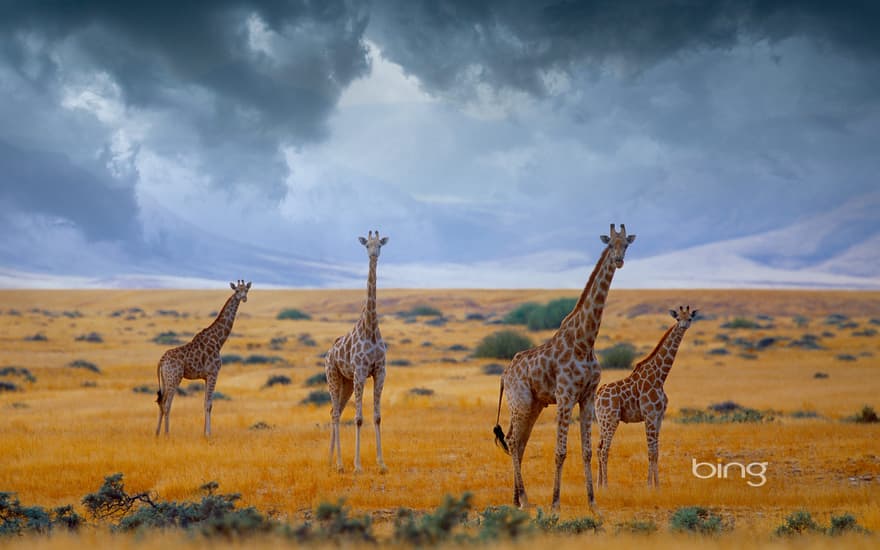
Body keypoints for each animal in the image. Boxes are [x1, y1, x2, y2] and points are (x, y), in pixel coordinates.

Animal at [154, 282, 251, 438]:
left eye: (247, 289)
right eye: (237, 290)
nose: (244, 298)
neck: (218, 341)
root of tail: (161, 361)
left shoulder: (206, 377)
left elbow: (205, 403)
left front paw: (204, 432)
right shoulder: (213, 373)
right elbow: (209, 404)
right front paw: (208, 434)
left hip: (165, 379)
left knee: (161, 402)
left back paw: (157, 433)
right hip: (174, 378)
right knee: (167, 404)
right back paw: (167, 434)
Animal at [326, 231, 388, 476]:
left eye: (379, 244)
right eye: (367, 245)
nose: (374, 254)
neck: (370, 328)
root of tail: (328, 354)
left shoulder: (379, 371)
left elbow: (377, 417)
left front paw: (382, 464)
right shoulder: (361, 372)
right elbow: (359, 418)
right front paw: (358, 466)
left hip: (346, 383)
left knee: (335, 411)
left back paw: (333, 462)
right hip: (333, 377)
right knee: (335, 414)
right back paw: (340, 464)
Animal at [492, 223, 636, 512]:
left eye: (626, 244)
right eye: (610, 244)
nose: (619, 260)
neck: (585, 341)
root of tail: (504, 375)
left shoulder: (587, 396)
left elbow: (587, 450)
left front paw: (593, 504)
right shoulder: (565, 395)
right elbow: (560, 451)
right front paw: (555, 504)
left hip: (534, 405)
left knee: (518, 442)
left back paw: (516, 500)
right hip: (521, 401)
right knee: (512, 441)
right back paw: (525, 500)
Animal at [596, 306, 696, 492]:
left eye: (690, 318)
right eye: (678, 318)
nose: (684, 325)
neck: (660, 377)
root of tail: (598, 394)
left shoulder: (659, 417)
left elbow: (656, 450)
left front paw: (658, 485)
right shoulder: (649, 415)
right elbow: (650, 451)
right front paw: (649, 485)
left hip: (602, 420)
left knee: (598, 448)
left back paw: (598, 485)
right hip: (611, 419)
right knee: (605, 449)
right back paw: (605, 486)